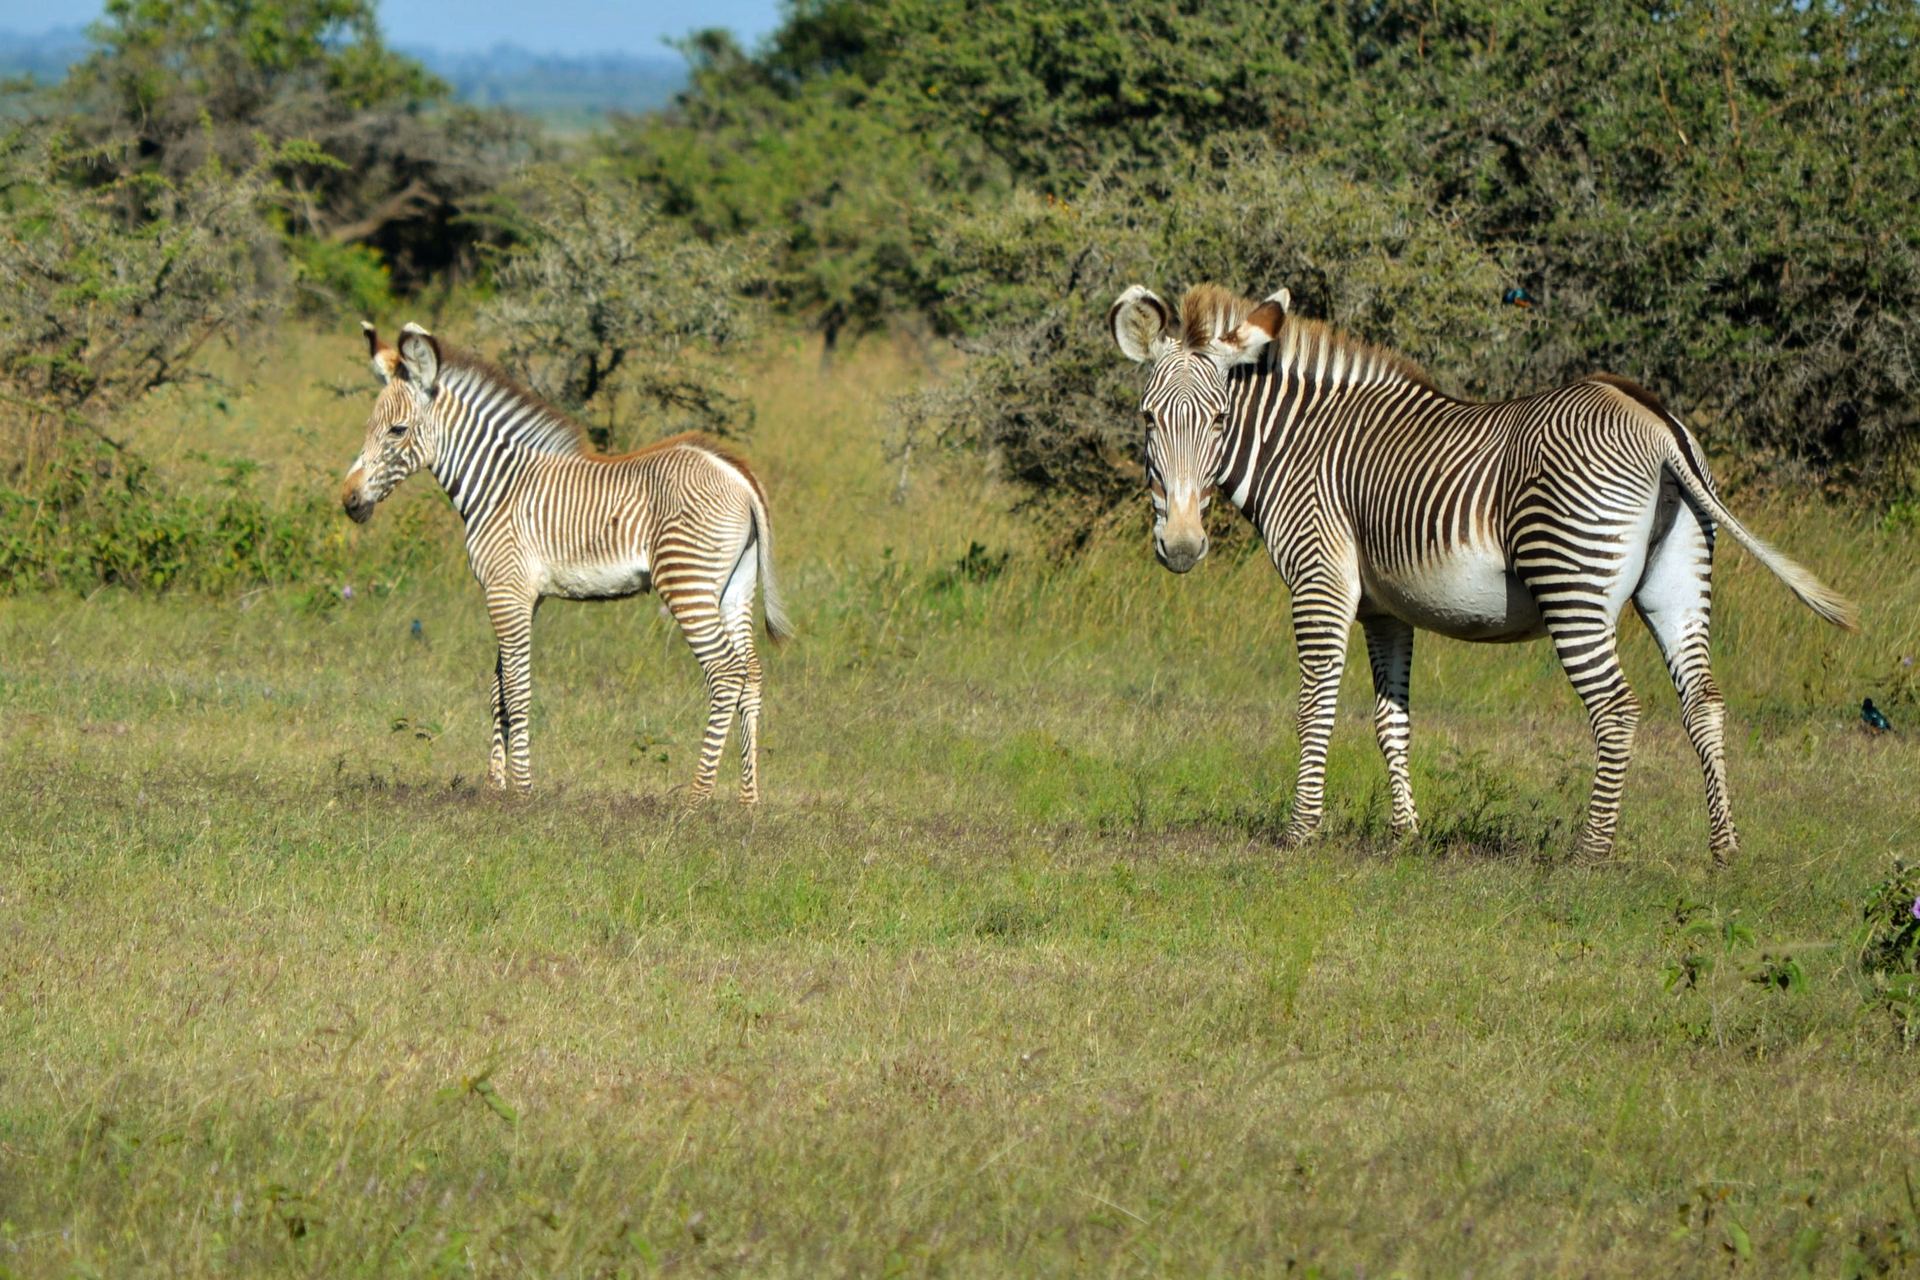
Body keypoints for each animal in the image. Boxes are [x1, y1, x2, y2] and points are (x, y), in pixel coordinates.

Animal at [341, 322, 790, 803]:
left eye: (397, 430)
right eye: (369, 427)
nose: (349, 500)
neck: (500, 486)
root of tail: (737, 475)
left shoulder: (505, 591)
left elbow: (517, 689)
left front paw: (522, 788)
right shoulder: (523, 596)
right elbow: (498, 689)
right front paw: (495, 785)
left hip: (686, 581)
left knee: (725, 673)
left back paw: (696, 797)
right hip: (734, 586)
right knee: (751, 673)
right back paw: (748, 800)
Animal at [1110, 283, 1857, 864]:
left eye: (1218, 419)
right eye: (1148, 419)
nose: (1182, 546)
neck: (1298, 445)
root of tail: (1655, 422)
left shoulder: (1320, 580)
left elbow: (1313, 705)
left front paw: (1300, 832)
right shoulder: (1385, 608)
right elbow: (1391, 719)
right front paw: (1405, 834)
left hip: (1572, 581)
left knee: (1616, 708)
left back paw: (1592, 852)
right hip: (1677, 580)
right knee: (1703, 701)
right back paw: (1723, 848)